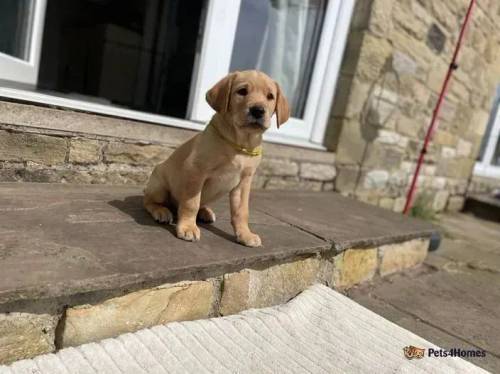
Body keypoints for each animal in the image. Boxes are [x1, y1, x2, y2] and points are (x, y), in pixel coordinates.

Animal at [143, 70, 290, 247]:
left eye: (270, 96)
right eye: (242, 91)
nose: (258, 110)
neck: (239, 143)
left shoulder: (243, 182)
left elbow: (241, 211)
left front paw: (245, 234)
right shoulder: (196, 171)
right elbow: (191, 203)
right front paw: (188, 228)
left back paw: (205, 212)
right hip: (159, 186)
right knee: (148, 200)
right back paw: (161, 211)